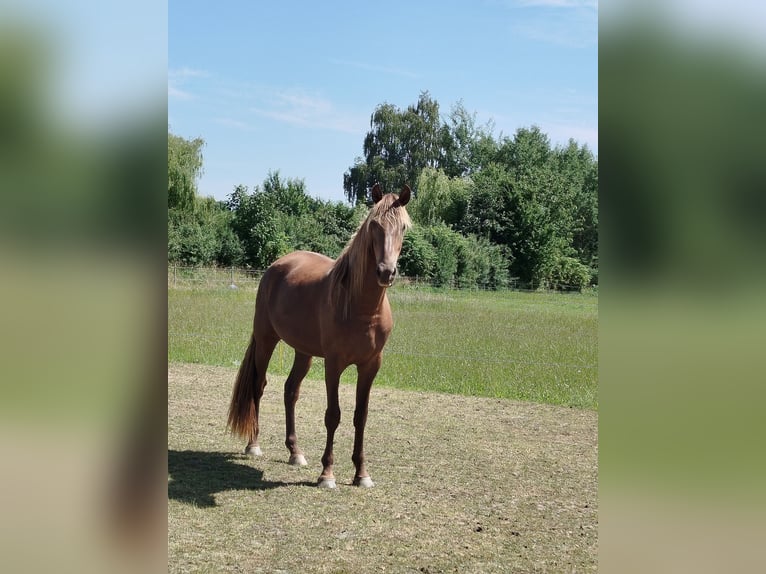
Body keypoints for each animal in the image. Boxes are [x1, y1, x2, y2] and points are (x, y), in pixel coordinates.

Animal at [227, 183, 412, 488]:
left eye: (404, 228)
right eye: (374, 225)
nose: (386, 271)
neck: (360, 307)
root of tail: (277, 265)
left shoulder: (371, 365)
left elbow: (361, 416)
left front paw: (362, 473)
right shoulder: (333, 364)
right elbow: (333, 415)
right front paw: (327, 474)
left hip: (304, 352)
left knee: (291, 391)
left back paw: (295, 452)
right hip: (266, 340)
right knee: (258, 386)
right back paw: (253, 445)